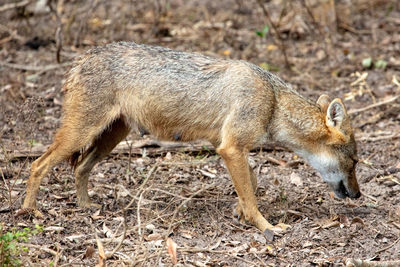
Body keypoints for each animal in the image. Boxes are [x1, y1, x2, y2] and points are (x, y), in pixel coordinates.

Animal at [20, 41, 360, 241]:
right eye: (355, 161)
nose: (358, 195)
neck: (273, 101)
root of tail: (81, 58)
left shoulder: (229, 147)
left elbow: (251, 183)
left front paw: (239, 212)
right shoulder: (231, 148)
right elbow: (252, 195)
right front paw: (266, 228)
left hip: (110, 138)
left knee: (79, 168)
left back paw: (86, 206)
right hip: (82, 134)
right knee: (38, 165)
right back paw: (30, 212)